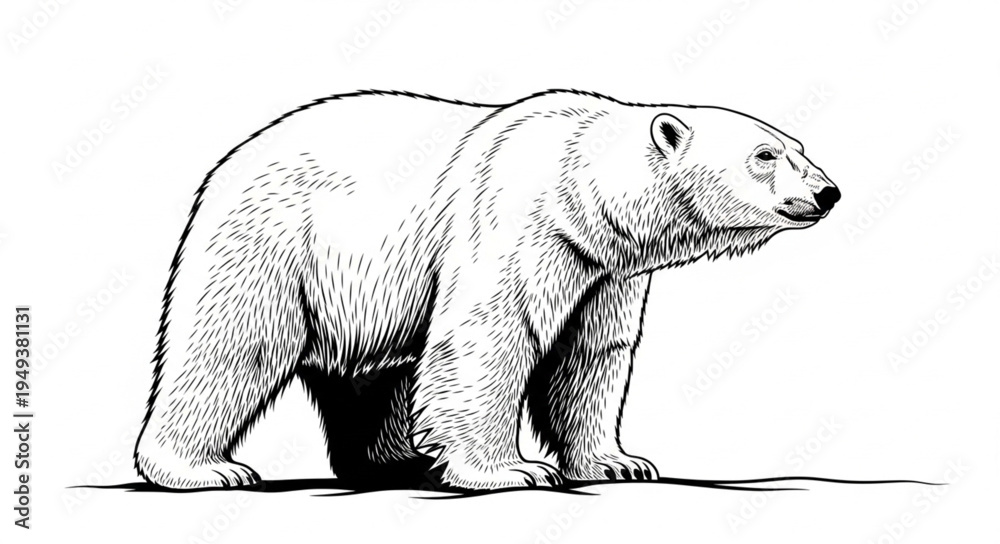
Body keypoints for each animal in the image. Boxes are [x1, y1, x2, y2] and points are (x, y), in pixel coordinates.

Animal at [134, 89, 840, 490]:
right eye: (765, 155)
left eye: (799, 146)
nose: (828, 191)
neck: (579, 187)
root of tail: (228, 162)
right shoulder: (516, 220)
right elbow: (489, 335)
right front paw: (513, 470)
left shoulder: (604, 267)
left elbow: (591, 357)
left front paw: (617, 461)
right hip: (274, 244)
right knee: (230, 349)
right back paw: (202, 469)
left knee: (378, 373)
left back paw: (398, 460)